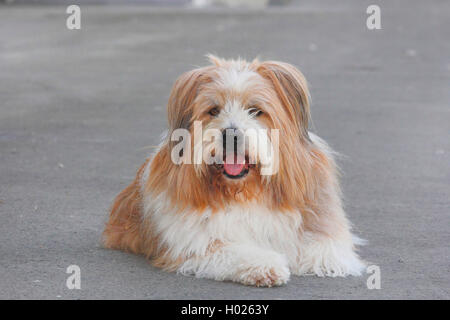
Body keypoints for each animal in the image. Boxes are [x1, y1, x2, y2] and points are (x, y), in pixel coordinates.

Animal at [103, 55, 368, 288]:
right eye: (213, 110)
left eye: (255, 110)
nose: (230, 135)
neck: (245, 190)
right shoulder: (196, 240)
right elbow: (233, 250)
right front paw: (265, 266)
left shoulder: (320, 223)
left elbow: (324, 247)